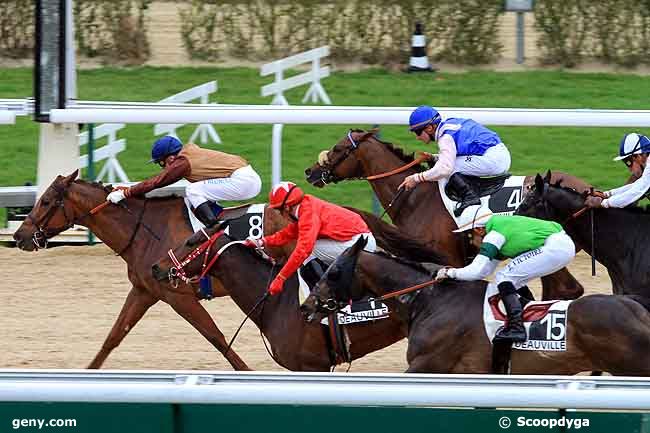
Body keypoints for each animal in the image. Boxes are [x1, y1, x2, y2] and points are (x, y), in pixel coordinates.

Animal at [11, 170, 290, 370]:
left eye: (46, 201)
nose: (19, 236)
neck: (147, 231)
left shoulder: (178, 296)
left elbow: (215, 336)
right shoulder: (144, 291)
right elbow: (114, 336)